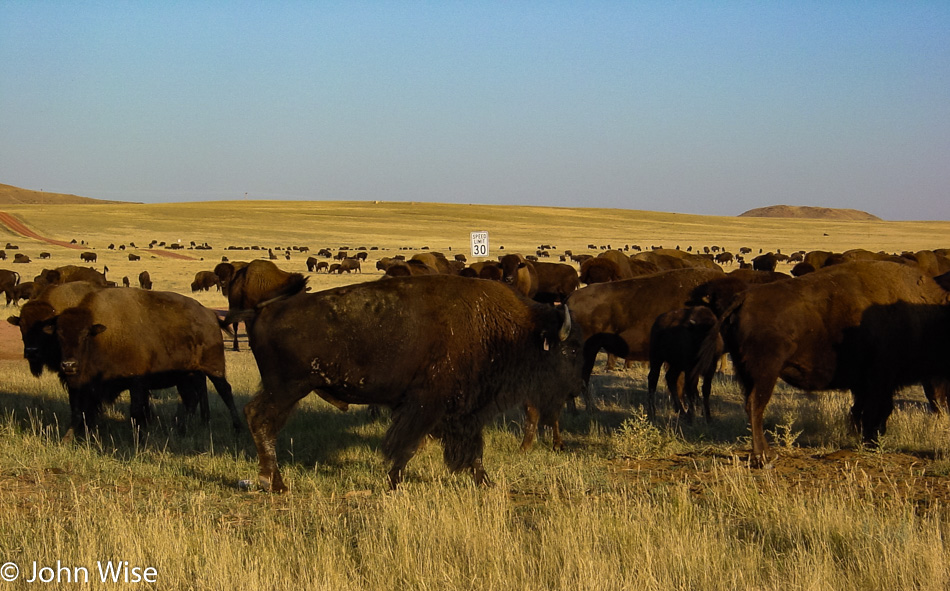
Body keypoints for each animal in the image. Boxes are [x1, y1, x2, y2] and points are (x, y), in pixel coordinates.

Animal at [49, 290, 244, 438]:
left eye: (84, 335)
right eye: (59, 335)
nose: (69, 365)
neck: (102, 336)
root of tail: (210, 315)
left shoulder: (136, 383)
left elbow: (135, 411)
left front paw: (139, 439)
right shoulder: (80, 388)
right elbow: (78, 411)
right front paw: (67, 439)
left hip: (214, 367)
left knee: (225, 390)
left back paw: (237, 427)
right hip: (186, 375)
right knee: (191, 398)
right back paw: (180, 429)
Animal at [234, 276, 584, 492]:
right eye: (566, 349)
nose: (576, 388)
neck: (509, 328)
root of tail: (263, 310)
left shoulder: (456, 412)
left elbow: (466, 449)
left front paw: (485, 482)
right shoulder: (431, 405)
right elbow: (411, 444)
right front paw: (394, 481)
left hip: (285, 391)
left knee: (260, 420)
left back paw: (273, 482)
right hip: (287, 390)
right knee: (260, 420)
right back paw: (274, 484)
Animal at [704, 262, 950, 468]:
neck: (927, 317)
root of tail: (744, 298)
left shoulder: (867, 385)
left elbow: (861, 411)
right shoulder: (879, 381)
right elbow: (877, 411)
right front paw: (871, 443)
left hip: (747, 373)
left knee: (750, 404)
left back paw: (765, 454)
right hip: (766, 372)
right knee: (756, 405)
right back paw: (764, 457)